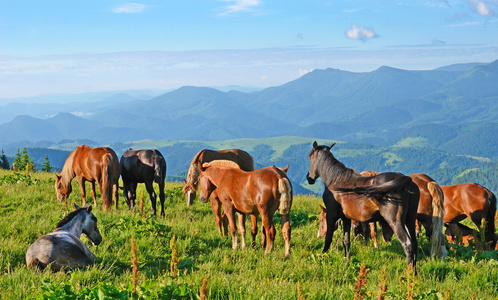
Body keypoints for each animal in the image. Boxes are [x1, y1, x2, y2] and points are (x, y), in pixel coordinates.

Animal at [306, 142, 418, 270]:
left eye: (310, 158)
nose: (309, 178)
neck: (335, 180)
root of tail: (406, 180)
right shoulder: (346, 218)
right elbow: (346, 240)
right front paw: (347, 260)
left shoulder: (331, 215)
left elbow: (328, 238)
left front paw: (322, 257)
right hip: (410, 219)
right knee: (414, 243)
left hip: (396, 221)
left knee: (408, 244)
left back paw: (409, 272)